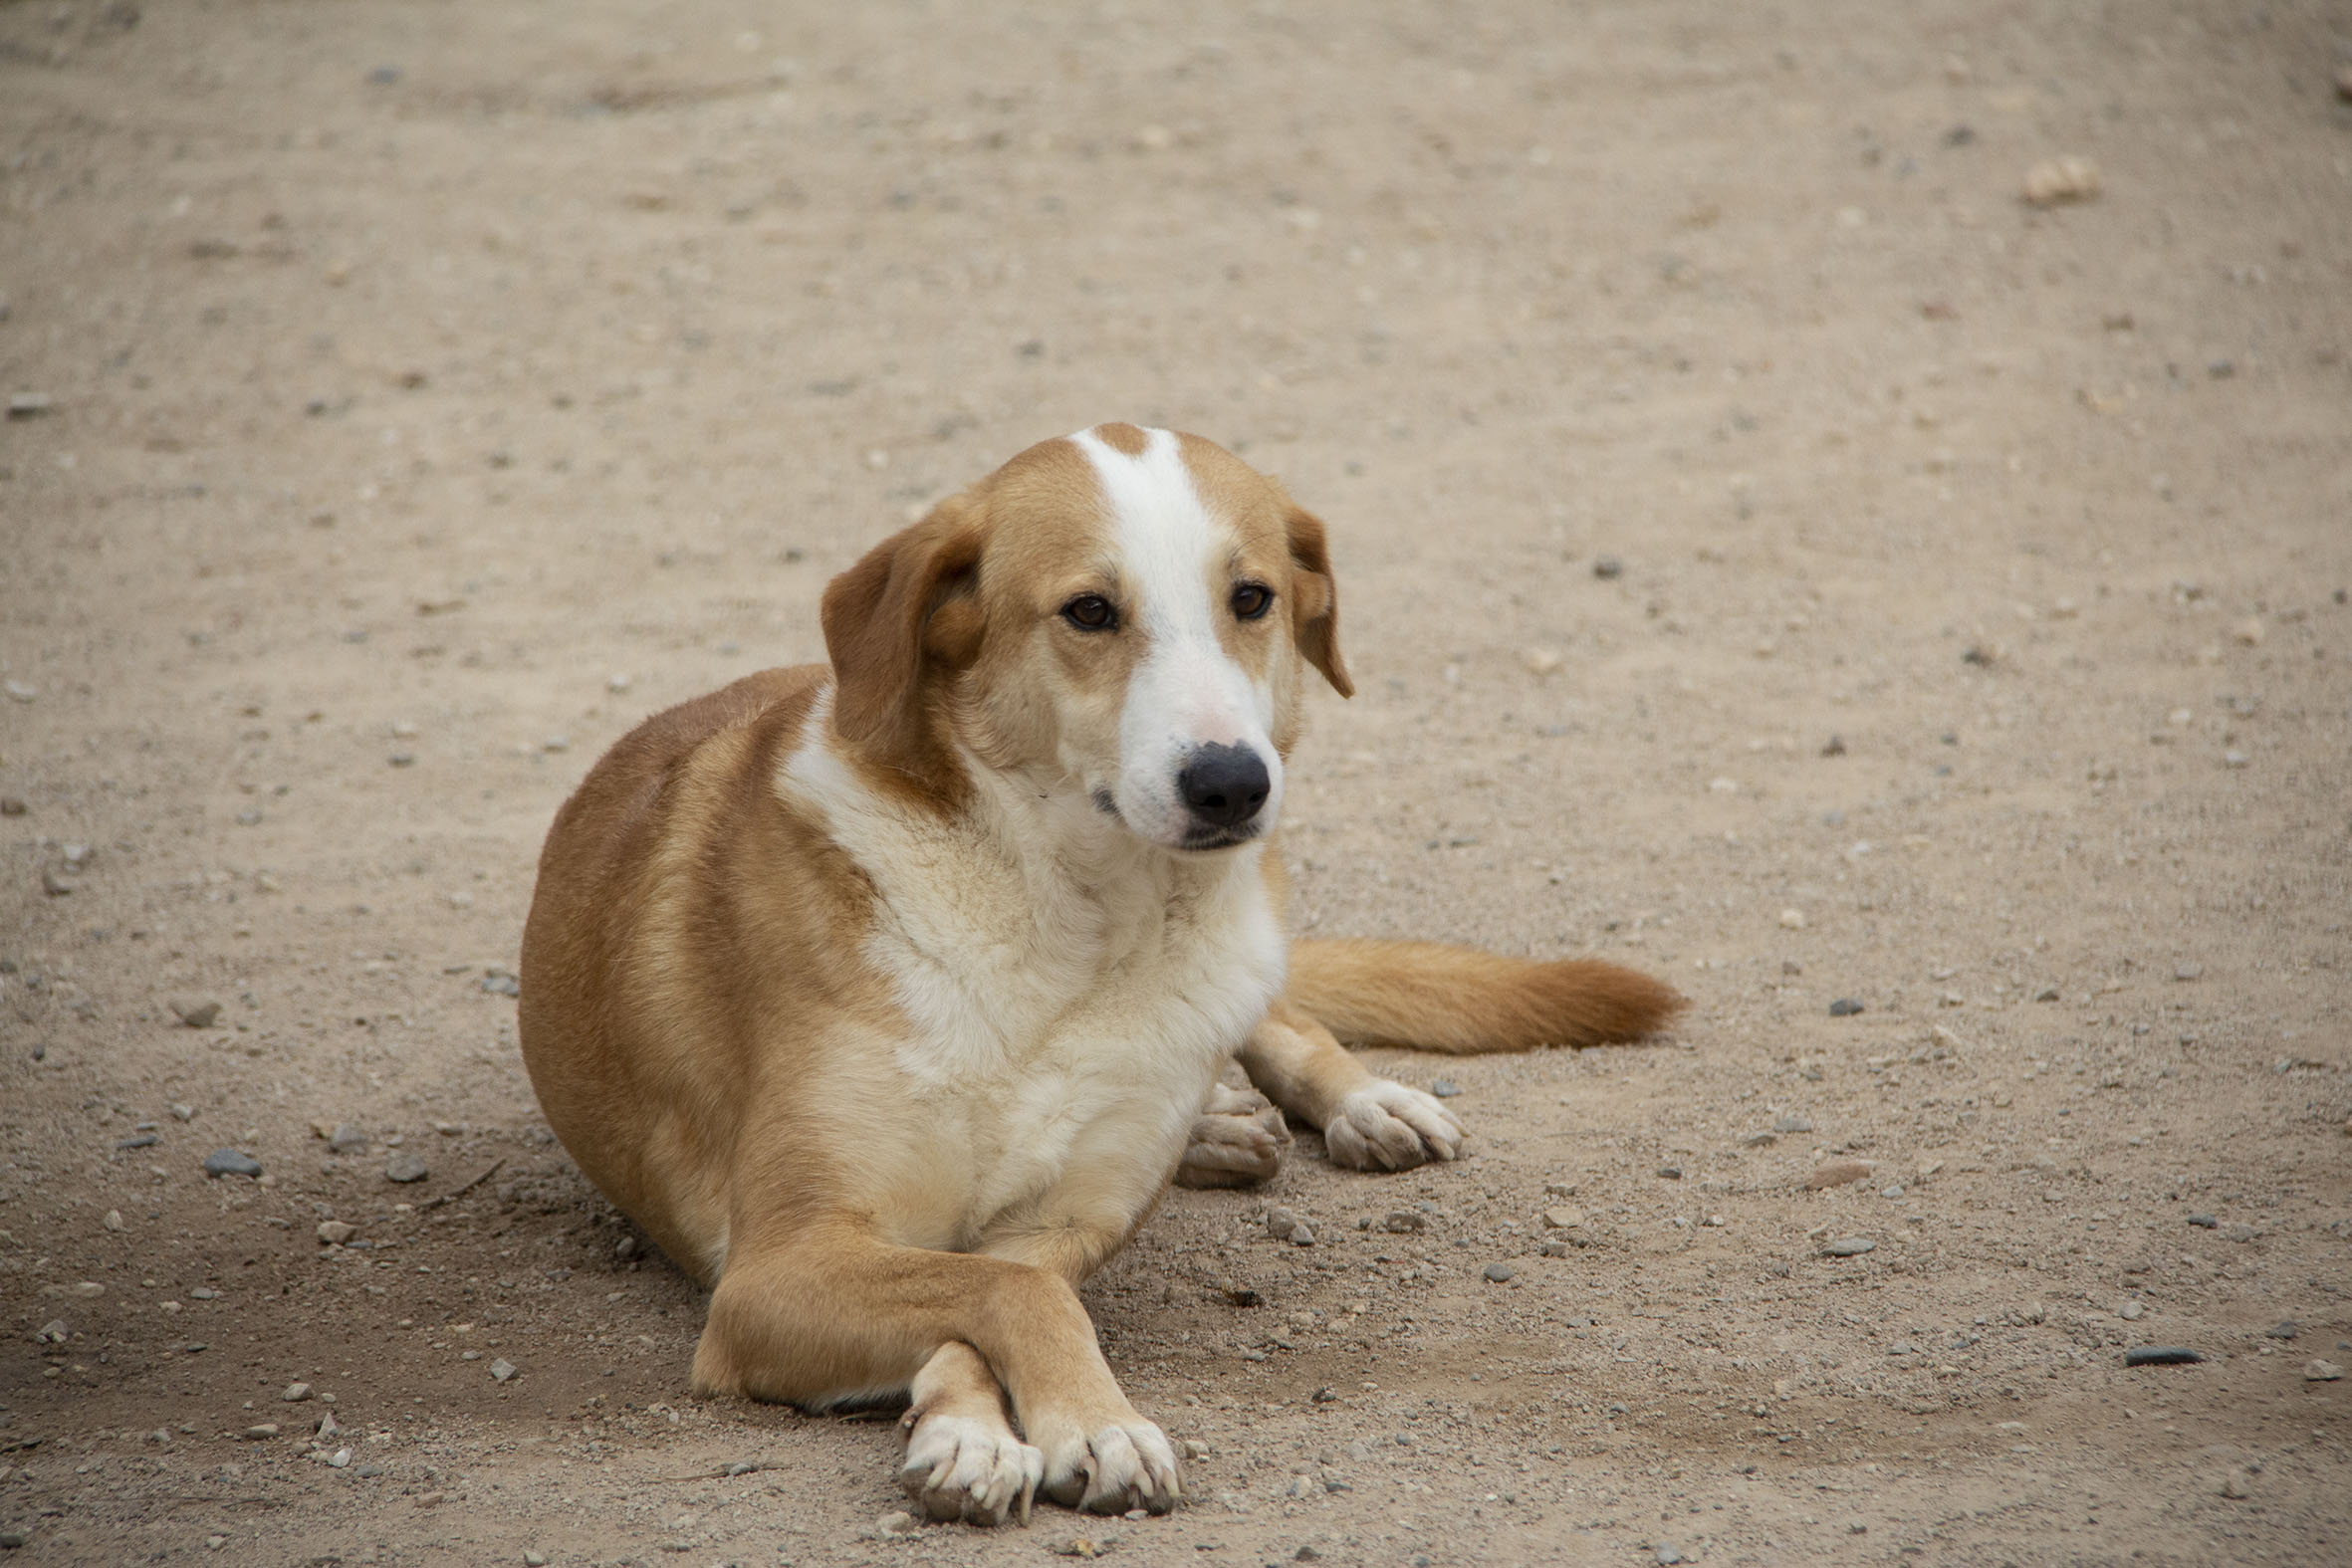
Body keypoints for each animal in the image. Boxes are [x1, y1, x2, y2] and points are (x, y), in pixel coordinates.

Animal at [518, 424, 1681, 1526]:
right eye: (1088, 611)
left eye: (1251, 598)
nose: (1231, 784)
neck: (1065, 930)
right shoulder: (779, 1267)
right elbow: (997, 1295)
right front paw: (1013, 1434)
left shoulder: (1051, 1230)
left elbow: (1018, 1286)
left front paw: (1068, 1422)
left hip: (1245, 960)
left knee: (1286, 1019)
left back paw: (1354, 1104)